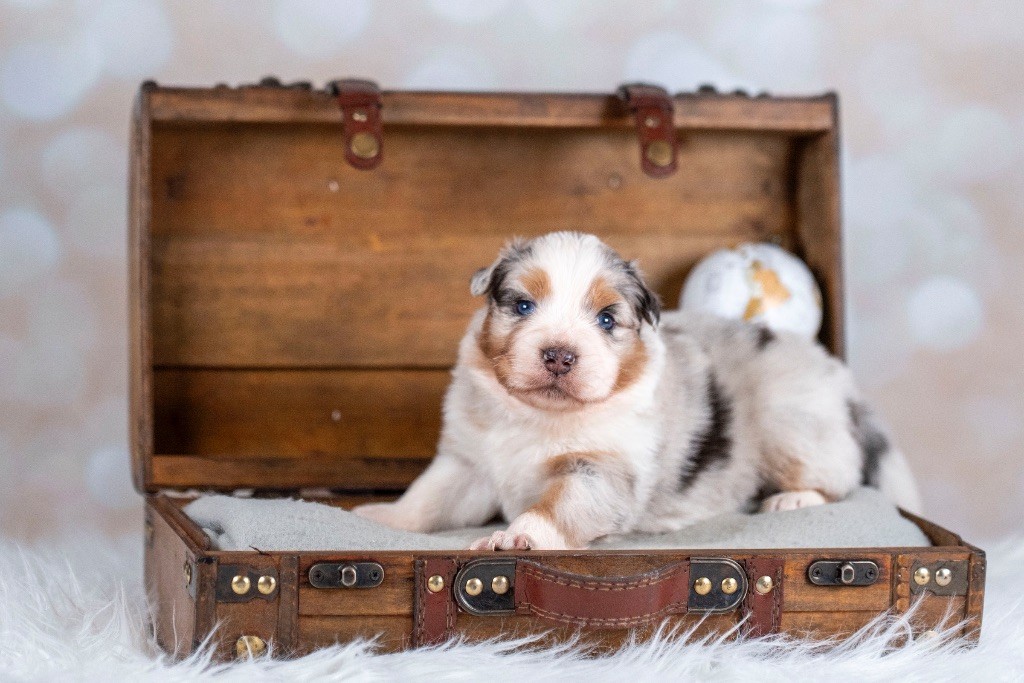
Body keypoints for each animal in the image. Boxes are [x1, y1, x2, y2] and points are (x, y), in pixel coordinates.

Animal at [354, 232, 921, 552]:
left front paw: (517, 536)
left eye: (607, 319)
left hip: (795, 423)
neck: (540, 416)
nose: (559, 355)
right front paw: (383, 516)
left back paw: (793, 500)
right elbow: (428, 496)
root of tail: (839, 375)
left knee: (839, 477)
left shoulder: (603, 471)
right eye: (522, 306)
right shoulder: (467, 462)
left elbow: (558, 506)